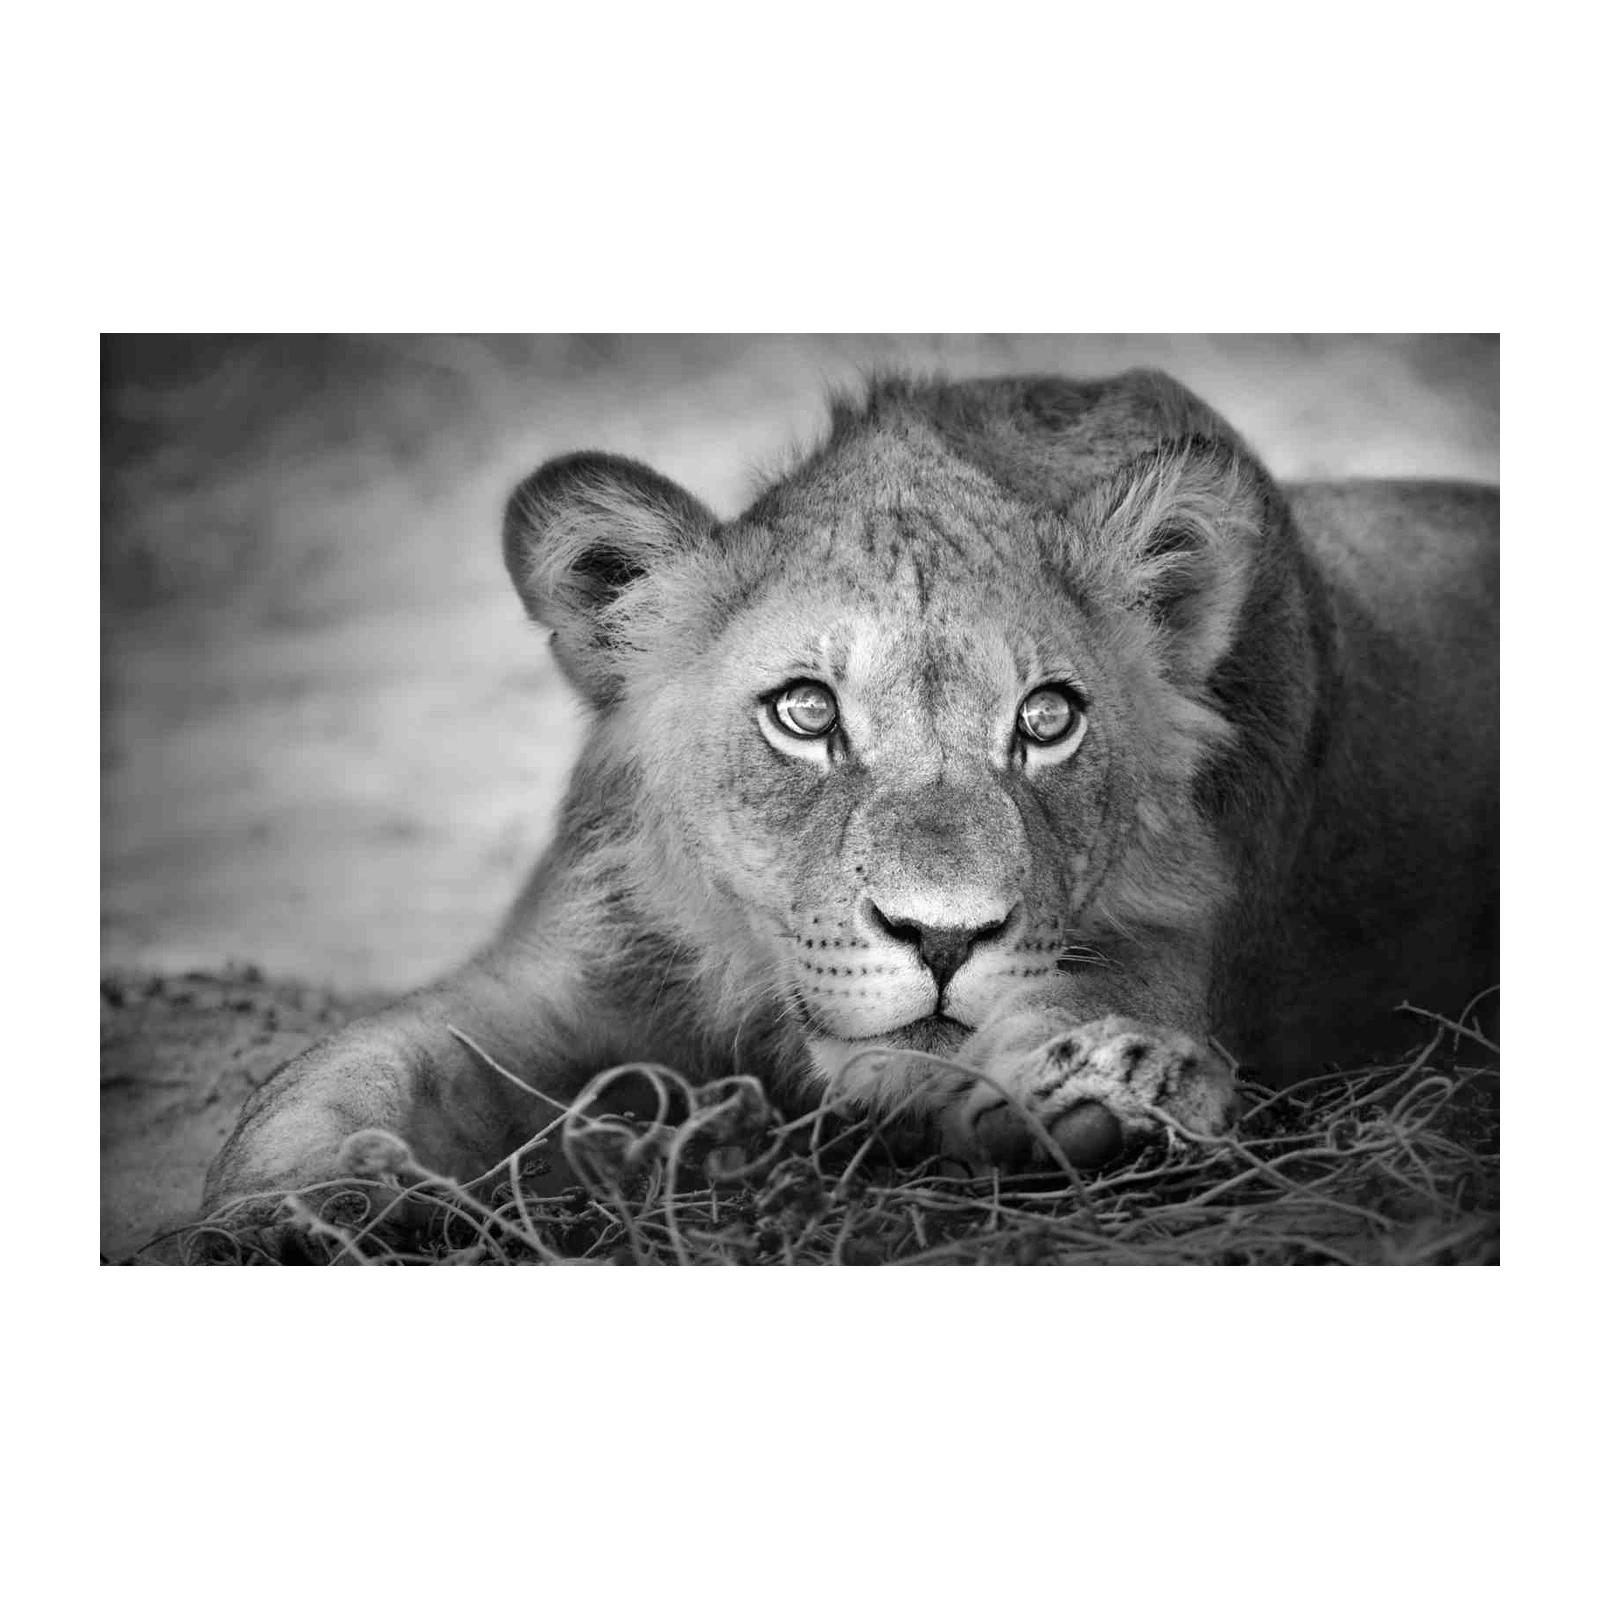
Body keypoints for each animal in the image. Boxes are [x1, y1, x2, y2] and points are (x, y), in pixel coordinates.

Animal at [202, 368, 1504, 1224]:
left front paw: (1108, 1096)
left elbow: (1067, 1021)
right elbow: (351, 1065)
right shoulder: (554, 977)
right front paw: (294, 1206)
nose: (944, 936)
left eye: (1047, 720)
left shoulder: (1159, 951)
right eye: (805, 712)